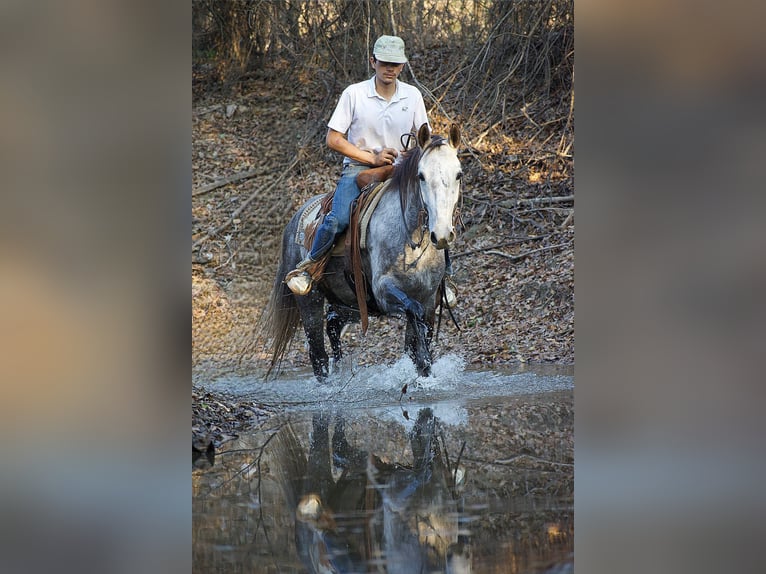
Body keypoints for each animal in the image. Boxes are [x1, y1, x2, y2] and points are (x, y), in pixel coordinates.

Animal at [262, 123, 462, 381]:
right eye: (421, 176)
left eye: (458, 174)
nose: (443, 234)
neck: (412, 241)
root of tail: (295, 219)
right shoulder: (385, 291)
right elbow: (414, 319)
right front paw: (424, 366)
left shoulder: (428, 299)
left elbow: (417, 338)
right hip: (310, 300)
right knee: (318, 354)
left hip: (350, 303)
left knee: (333, 323)